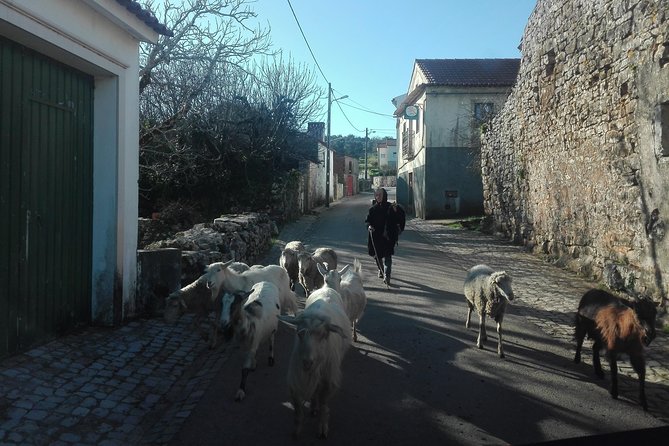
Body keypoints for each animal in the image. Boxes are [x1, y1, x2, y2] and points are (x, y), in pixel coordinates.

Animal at [278, 286, 352, 440]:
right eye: (299, 333)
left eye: (324, 335)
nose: (307, 362)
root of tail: (326, 288)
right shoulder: (296, 379)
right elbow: (298, 408)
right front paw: (296, 430)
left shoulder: (328, 380)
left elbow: (323, 404)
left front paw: (322, 428)